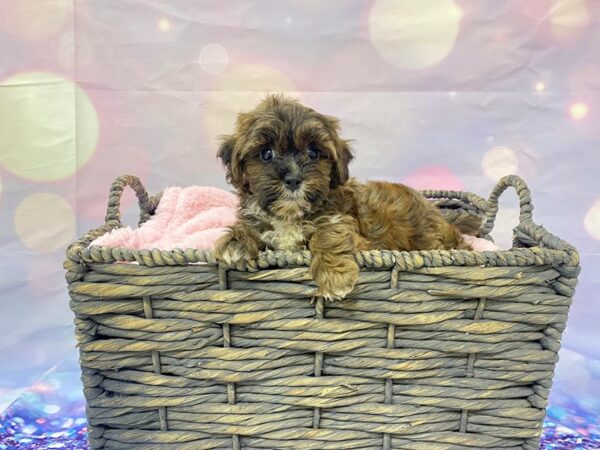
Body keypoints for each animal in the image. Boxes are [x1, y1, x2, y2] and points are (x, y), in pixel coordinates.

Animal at [213, 94, 476, 298]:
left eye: (313, 153)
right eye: (266, 154)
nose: (293, 179)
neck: (290, 215)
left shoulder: (348, 228)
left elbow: (328, 234)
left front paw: (334, 276)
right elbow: (253, 228)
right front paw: (236, 241)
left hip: (431, 237)